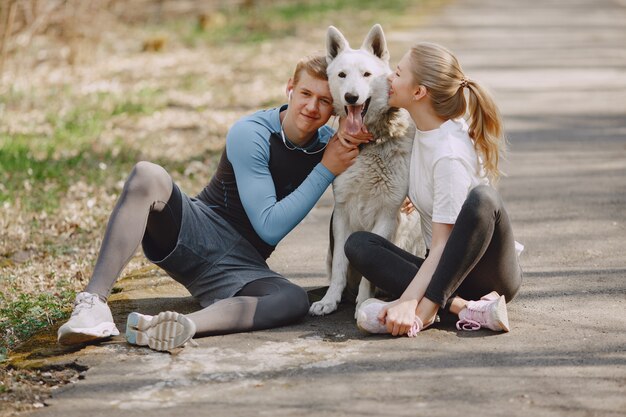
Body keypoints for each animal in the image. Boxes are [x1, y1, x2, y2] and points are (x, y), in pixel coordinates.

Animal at [308, 23, 422, 316]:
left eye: (367, 74)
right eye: (342, 75)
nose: (351, 97)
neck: (370, 144)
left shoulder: (386, 215)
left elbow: (367, 272)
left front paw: (362, 302)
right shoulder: (342, 214)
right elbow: (340, 265)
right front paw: (330, 301)